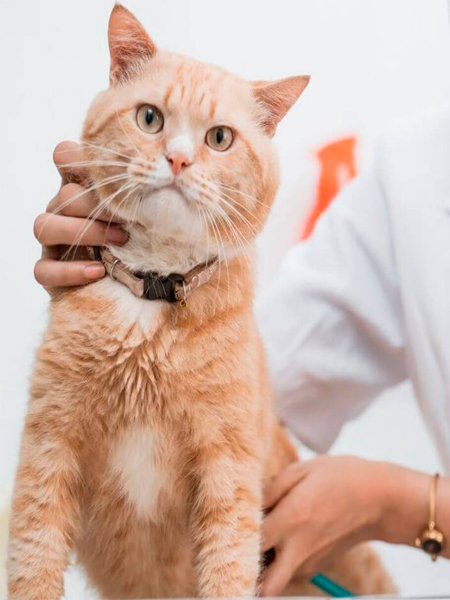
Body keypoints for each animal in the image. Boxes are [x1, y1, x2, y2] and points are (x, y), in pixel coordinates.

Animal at [7, 5, 394, 600]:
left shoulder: (227, 472)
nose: (179, 159)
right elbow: (34, 561)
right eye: (149, 119)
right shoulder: (50, 447)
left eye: (219, 138)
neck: (153, 297)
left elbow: (227, 567)